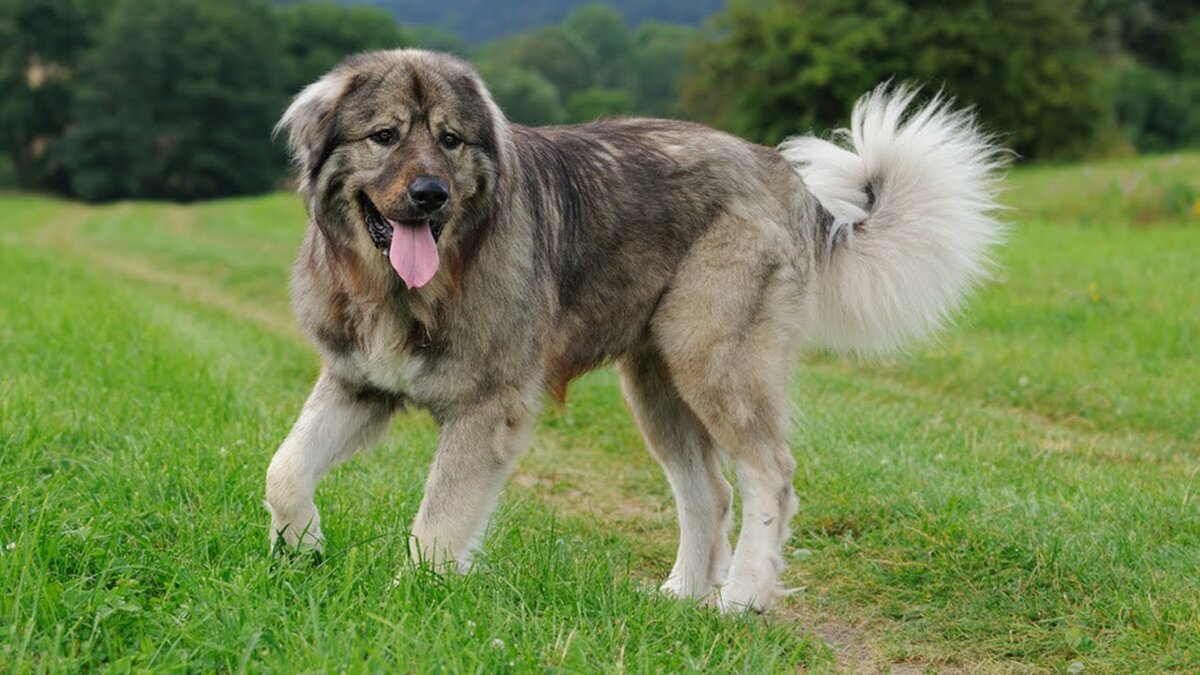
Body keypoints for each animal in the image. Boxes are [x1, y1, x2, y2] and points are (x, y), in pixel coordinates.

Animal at [267, 48, 1008, 610]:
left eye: (450, 139)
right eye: (385, 135)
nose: (430, 195)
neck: (406, 288)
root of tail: (786, 179)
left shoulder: (486, 409)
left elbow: (437, 522)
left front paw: (413, 597)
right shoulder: (358, 384)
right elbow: (285, 468)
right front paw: (301, 548)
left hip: (714, 361)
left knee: (769, 472)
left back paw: (742, 597)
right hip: (657, 383)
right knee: (708, 492)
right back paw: (681, 596)